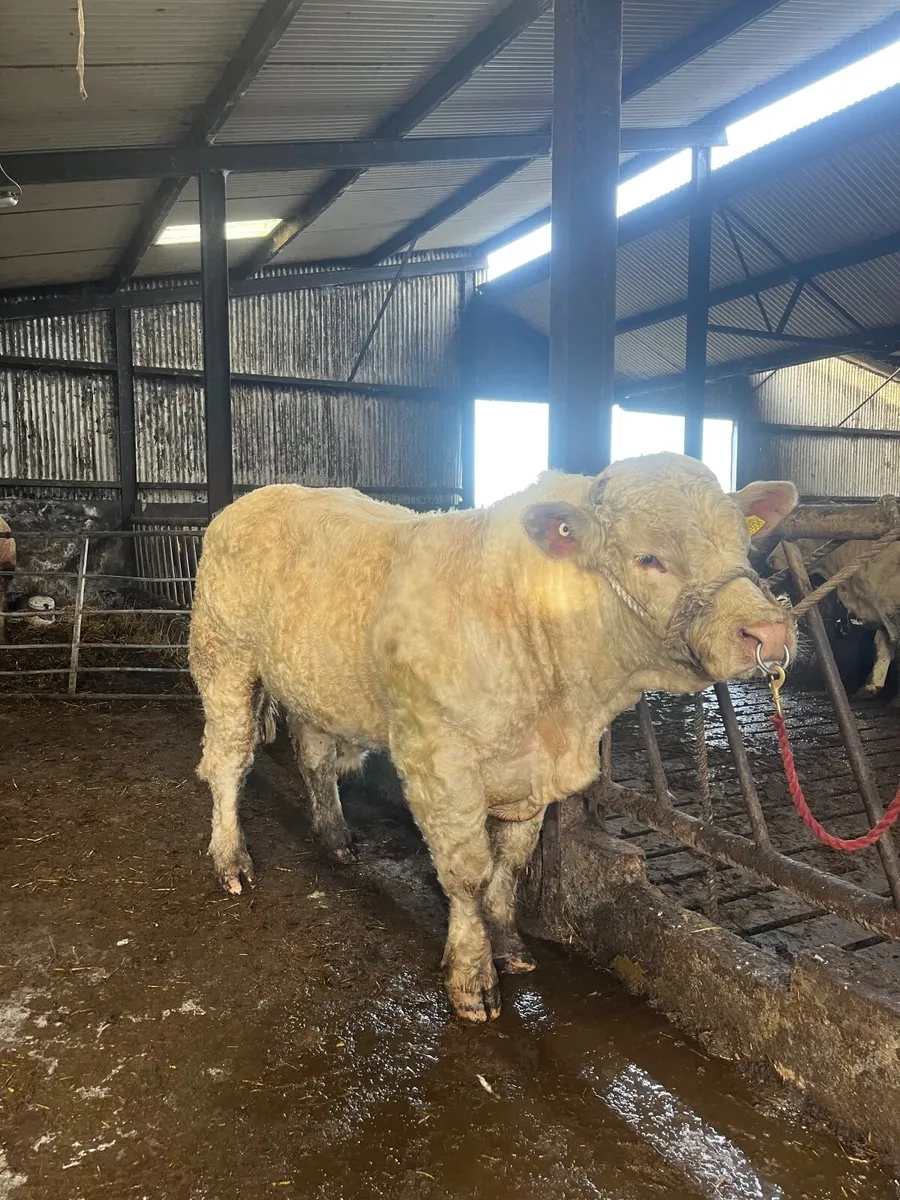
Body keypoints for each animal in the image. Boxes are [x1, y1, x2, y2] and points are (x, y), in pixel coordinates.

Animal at [188, 453, 798, 1022]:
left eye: (743, 544)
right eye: (647, 558)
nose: (768, 631)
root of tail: (260, 497)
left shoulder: (530, 775)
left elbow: (510, 863)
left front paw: (508, 944)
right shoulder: (439, 762)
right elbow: (468, 872)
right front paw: (472, 975)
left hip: (311, 683)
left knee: (314, 758)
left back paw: (335, 838)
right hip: (224, 660)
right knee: (228, 762)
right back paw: (230, 860)